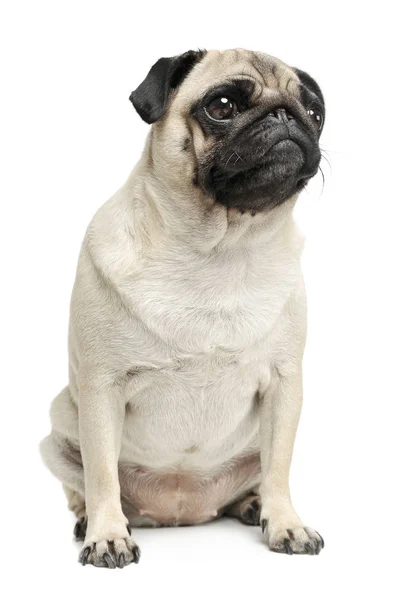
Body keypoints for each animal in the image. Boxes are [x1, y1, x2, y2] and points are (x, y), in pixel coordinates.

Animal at [40, 48, 326, 568]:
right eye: (223, 105)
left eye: (314, 113)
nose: (285, 116)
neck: (217, 250)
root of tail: (182, 508)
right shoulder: (101, 388)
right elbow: (101, 474)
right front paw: (107, 535)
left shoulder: (284, 385)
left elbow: (279, 468)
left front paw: (286, 523)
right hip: (58, 432)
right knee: (82, 485)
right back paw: (88, 520)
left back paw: (252, 505)